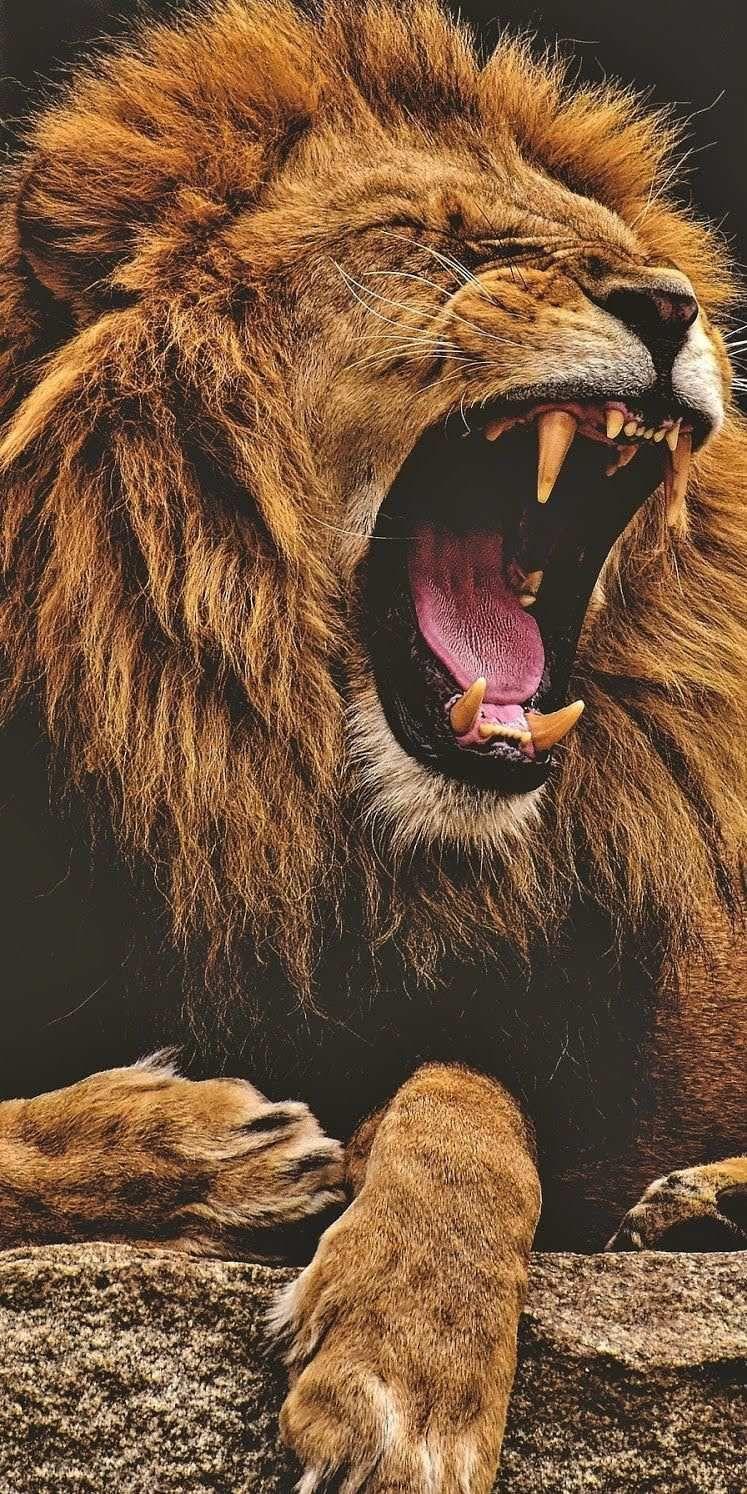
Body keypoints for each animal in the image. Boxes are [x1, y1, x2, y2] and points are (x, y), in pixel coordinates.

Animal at [0, 0, 745, 1487]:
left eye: (626, 253)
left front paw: (404, 1365)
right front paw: (200, 1144)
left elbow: (468, 1090)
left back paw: (702, 1202)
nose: (668, 305)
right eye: (431, 238)